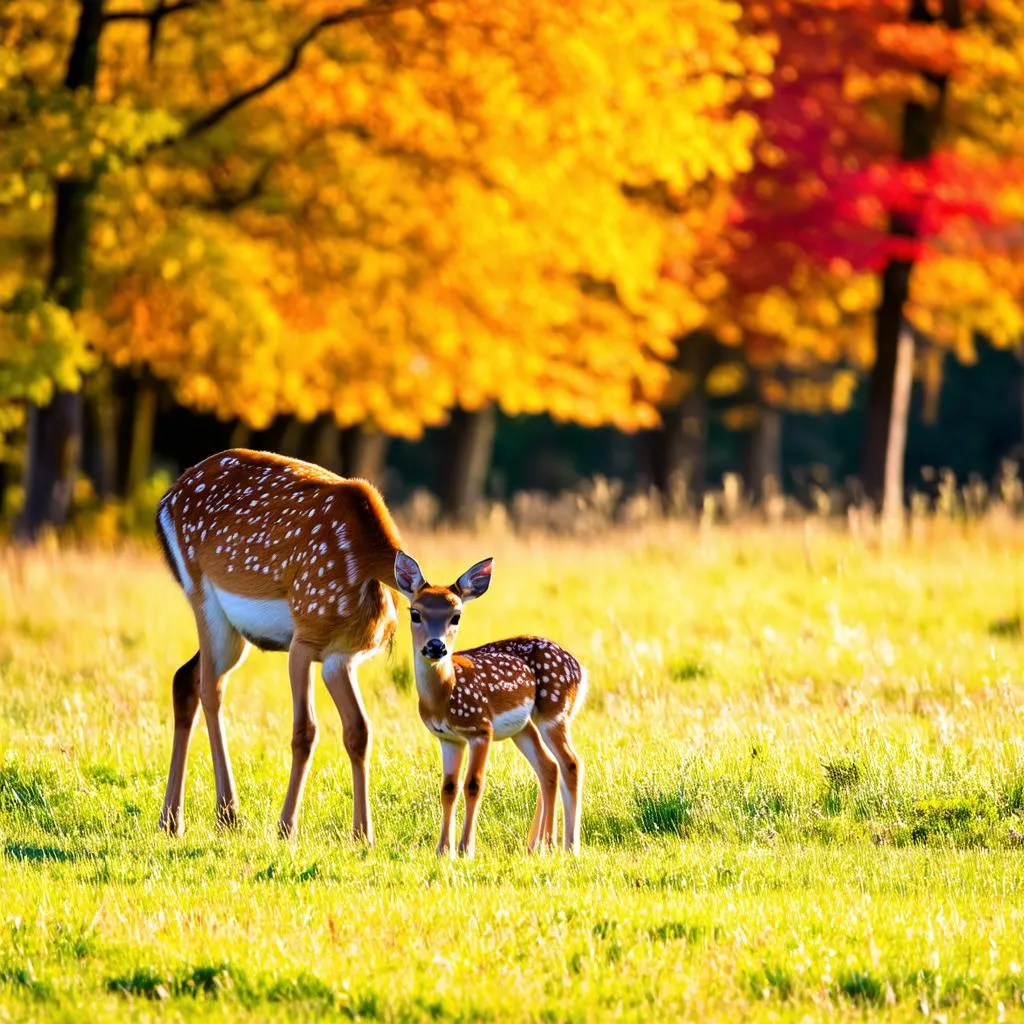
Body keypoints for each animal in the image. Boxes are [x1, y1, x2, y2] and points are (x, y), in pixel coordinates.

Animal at [155, 448, 403, 839]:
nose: (436, 651)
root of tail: (166, 499)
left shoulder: (340, 656)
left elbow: (359, 730)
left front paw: (363, 835)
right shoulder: (304, 640)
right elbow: (306, 731)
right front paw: (286, 828)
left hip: (233, 633)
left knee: (185, 677)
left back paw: (171, 820)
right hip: (202, 596)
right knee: (210, 687)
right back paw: (228, 814)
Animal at [391, 552, 585, 856]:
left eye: (456, 616)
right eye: (415, 613)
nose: (436, 647)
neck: (445, 694)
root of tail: (579, 668)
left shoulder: (480, 728)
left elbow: (473, 784)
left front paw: (465, 849)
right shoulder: (448, 738)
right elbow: (448, 788)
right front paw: (442, 849)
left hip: (555, 712)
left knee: (571, 764)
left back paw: (568, 845)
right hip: (523, 727)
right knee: (548, 767)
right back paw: (538, 844)